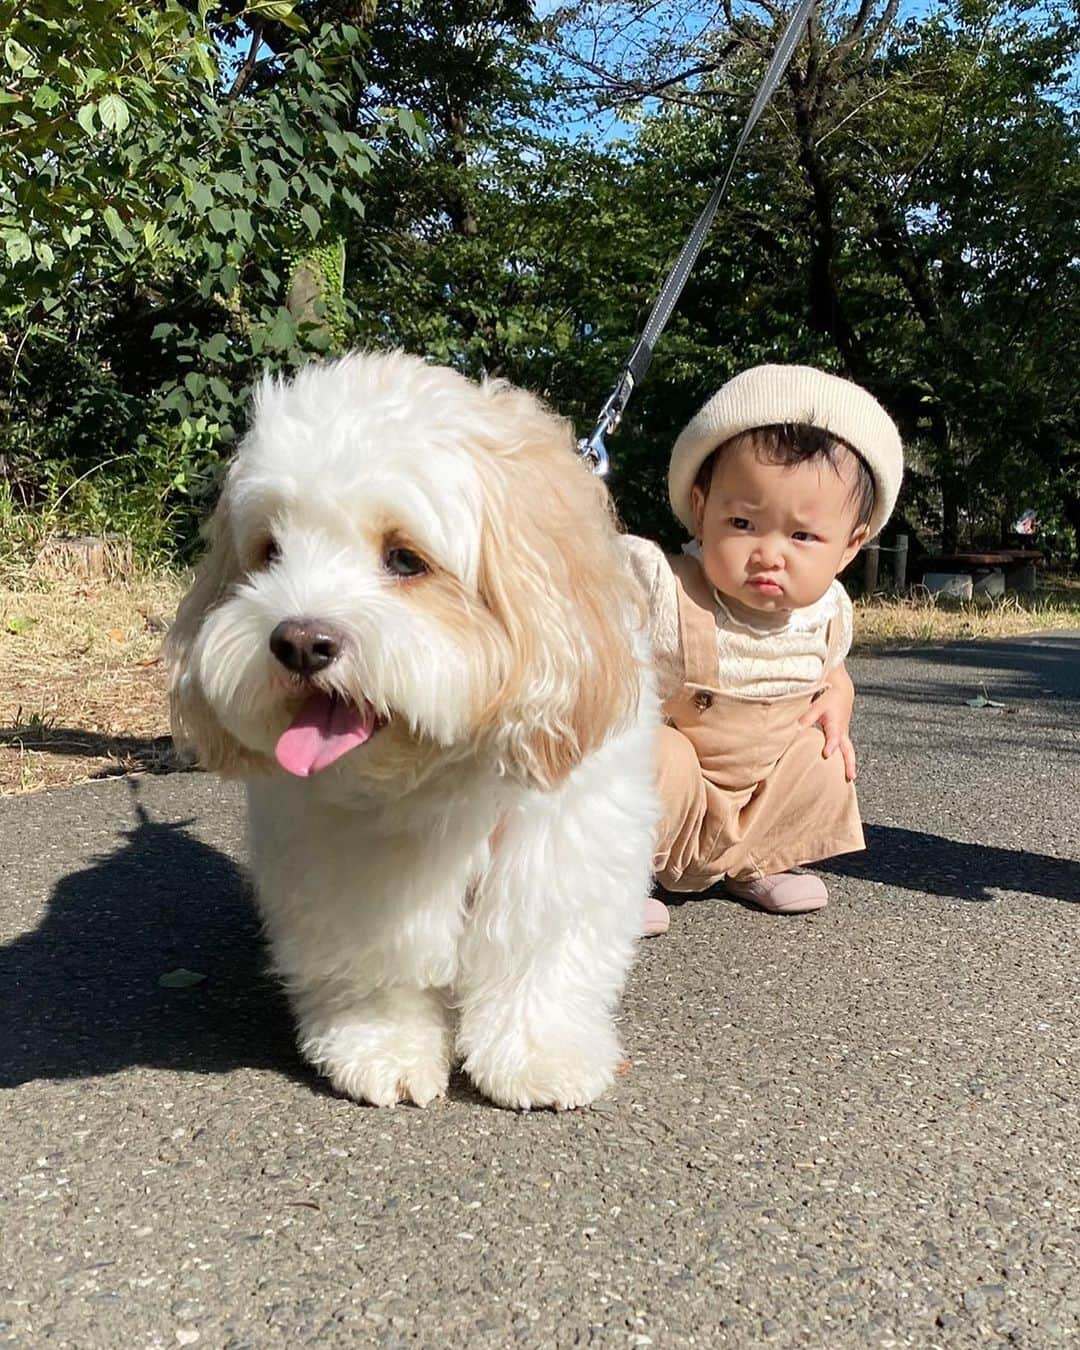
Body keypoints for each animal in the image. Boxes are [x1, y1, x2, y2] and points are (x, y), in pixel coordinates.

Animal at [167, 348, 658, 1107]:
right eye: (269, 551)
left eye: (404, 558)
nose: (299, 641)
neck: (442, 769)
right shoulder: (347, 860)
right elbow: (376, 957)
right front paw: (381, 1047)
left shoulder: (562, 841)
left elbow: (538, 947)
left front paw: (538, 1052)